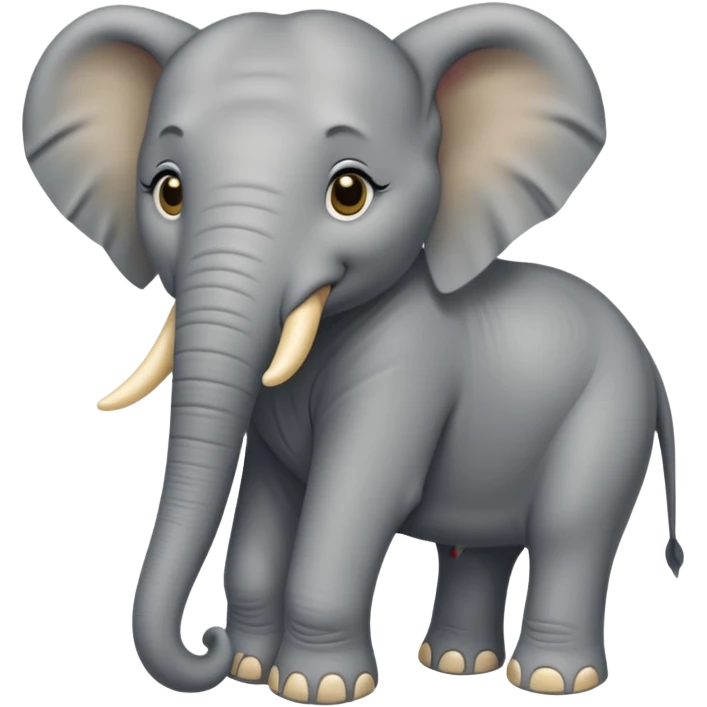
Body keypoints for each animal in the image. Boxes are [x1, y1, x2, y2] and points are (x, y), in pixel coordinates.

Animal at [22, 3, 684, 703]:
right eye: (168, 191)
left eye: (350, 192)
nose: (207, 637)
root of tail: (649, 364)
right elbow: (265, 504)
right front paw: (249, 668)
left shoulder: (408, 364)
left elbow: (354, 499)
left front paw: (317, 687)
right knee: (484, 546)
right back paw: (455, 662)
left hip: (609, 413)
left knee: (570, 530)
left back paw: (552, 678)